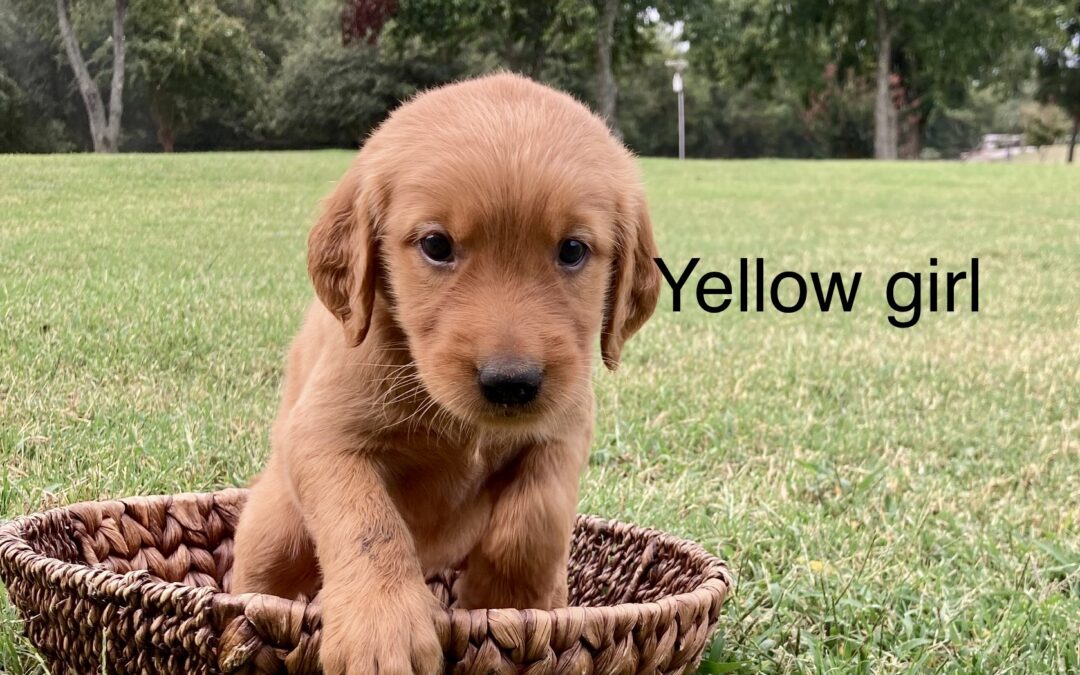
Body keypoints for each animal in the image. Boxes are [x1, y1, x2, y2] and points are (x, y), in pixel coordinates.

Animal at [232, 73, 660, 673]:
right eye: (436, 245)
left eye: (573, 250)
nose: (511, 383)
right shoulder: (322, 437)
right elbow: (369, 524)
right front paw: (381, 631)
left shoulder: (567, 425)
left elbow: (535, 516)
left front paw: (510, 602)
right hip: (274, 530)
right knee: (258, 578)